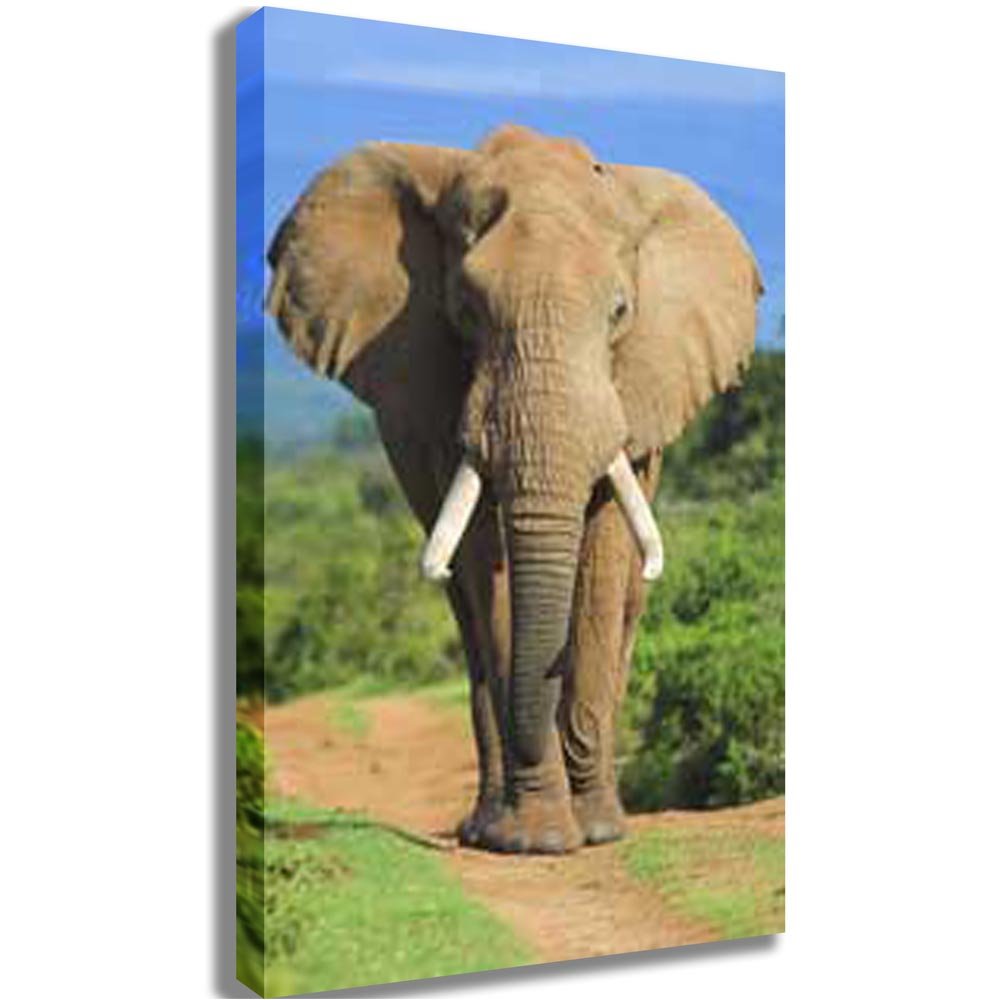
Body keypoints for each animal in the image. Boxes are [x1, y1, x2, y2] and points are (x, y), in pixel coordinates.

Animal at [265, 124, 762, 854]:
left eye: (620, 312)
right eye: (466, 312)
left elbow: (603, 554)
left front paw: (594, 830)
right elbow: (481, 560)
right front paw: (536, 838)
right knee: (466, 613)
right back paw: (486, 826)